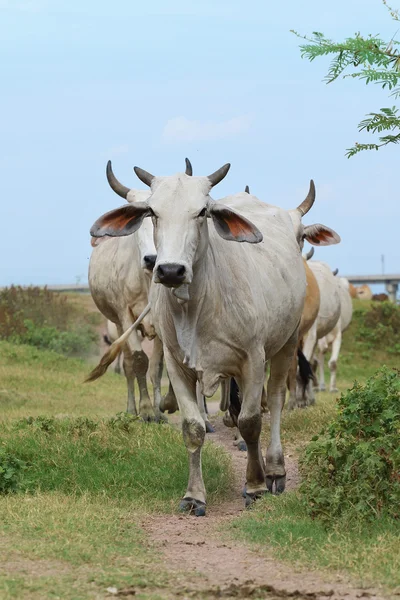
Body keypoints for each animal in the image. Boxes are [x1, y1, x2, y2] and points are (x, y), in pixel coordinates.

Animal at [89, 164, 340, 516]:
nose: (169, 270)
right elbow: (192, 426)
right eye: (152, 212)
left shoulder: (254, 358)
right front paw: (194, 495)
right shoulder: (176, 363)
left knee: (276, 399)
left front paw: (256, 485)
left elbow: (251, 422)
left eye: (202, 212)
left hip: (287, 342)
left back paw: (274, 469)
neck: (199, 304)